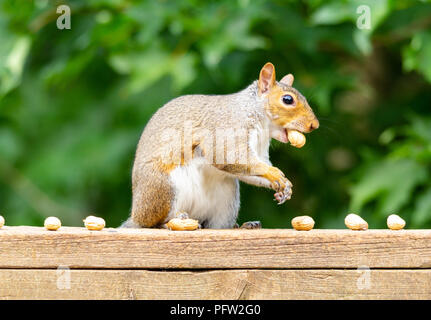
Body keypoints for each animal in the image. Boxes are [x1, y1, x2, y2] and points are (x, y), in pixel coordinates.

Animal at [120, 62, 318, 229]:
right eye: (287, 99)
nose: (314, 125)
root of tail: (136, 215)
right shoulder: (225, 131)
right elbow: (228, 156)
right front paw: (274, 173)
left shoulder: (260, 149)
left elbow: (251, 169)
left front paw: (283, 185)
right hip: (164, 188)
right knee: (152, 223)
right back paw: (169, 223)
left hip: (227, 201)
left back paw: (243, 226)